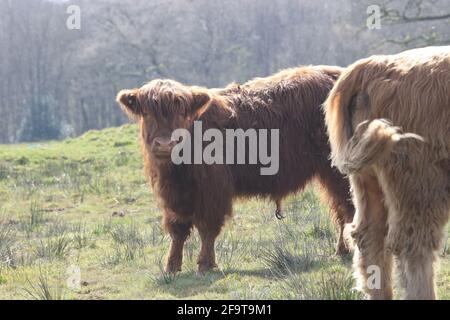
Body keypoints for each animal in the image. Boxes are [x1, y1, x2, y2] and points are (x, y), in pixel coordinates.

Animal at [117, 65, 356, 272]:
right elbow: (178, 229)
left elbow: (207, 228)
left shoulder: (212, 190)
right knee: (341, 209)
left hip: (339, 172)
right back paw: (342, 250)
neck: (177, 171)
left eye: (182, 112)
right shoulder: (174, 196)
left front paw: (205, 264)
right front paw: (172, 266)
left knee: (347, 208)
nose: (166, 144)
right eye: (147, 113)